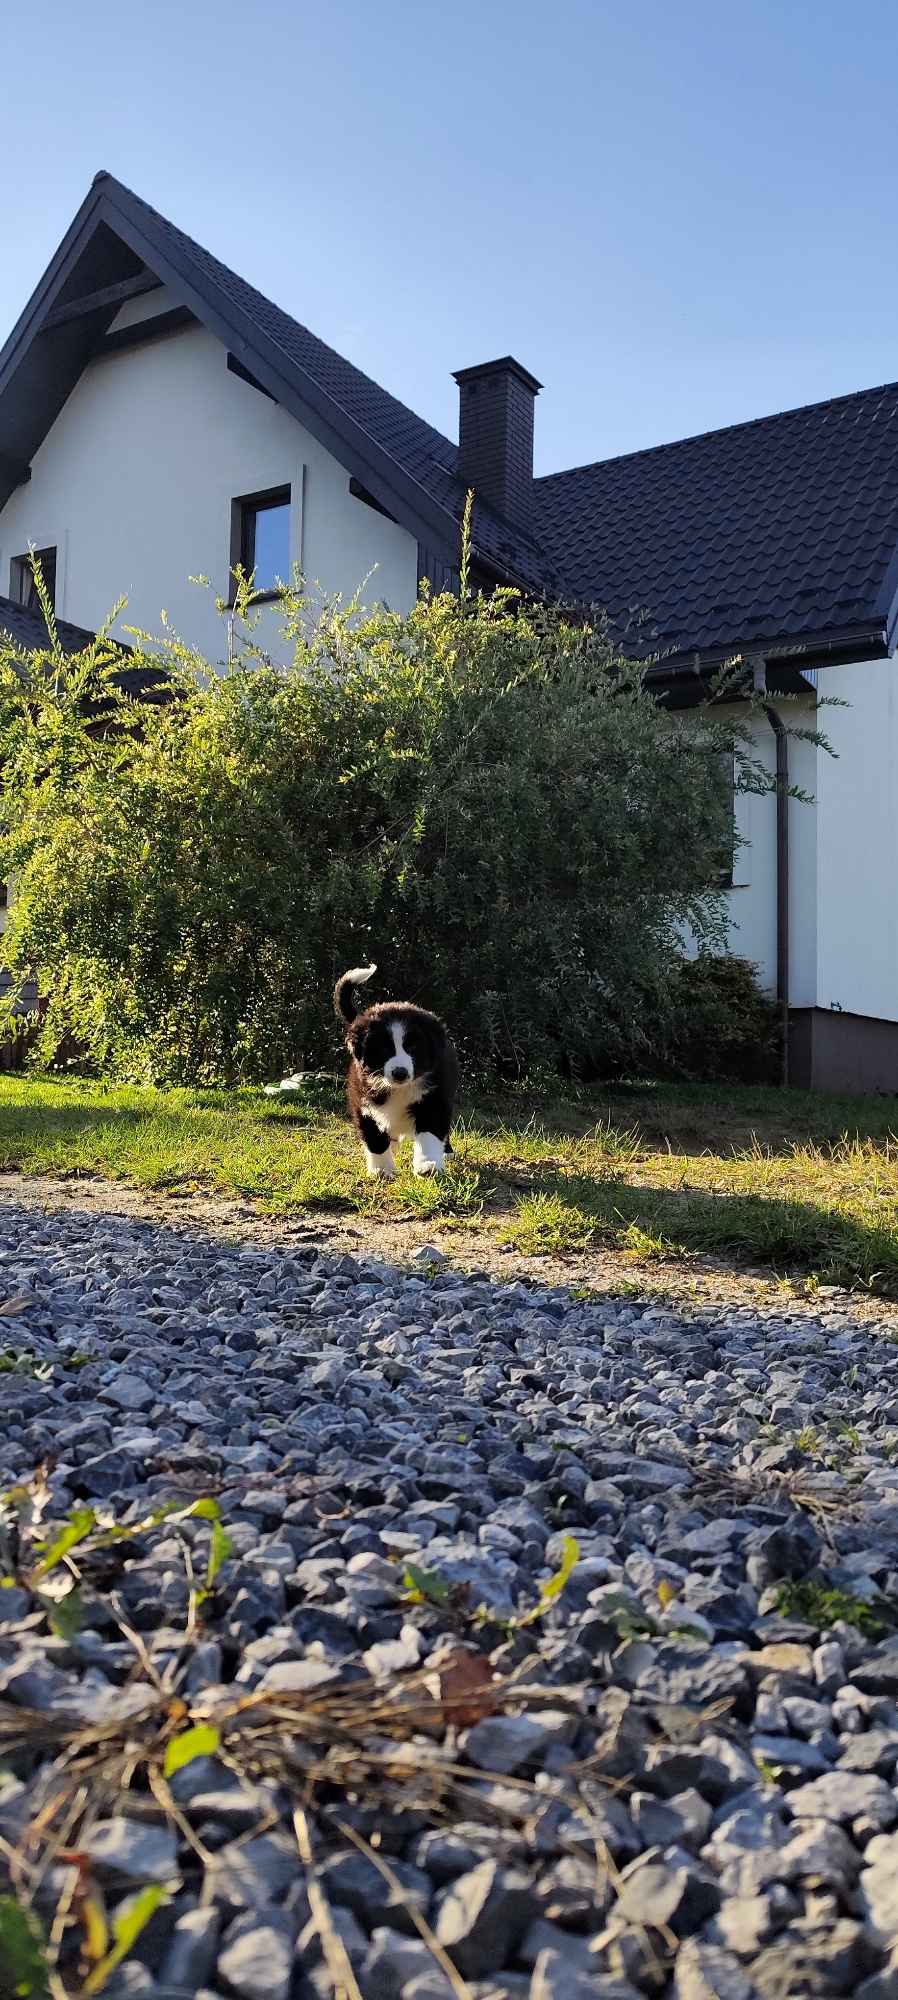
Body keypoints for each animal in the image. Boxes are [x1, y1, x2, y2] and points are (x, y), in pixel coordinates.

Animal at [332, 964, 456, 1168]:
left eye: (413, 1047)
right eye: (383, 1048)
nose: (400, 1073)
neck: (399, 1089)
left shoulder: (435, 1097)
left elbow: (430, 1131)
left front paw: (427, 1163)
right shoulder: (362, 1099)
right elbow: (374, 1137)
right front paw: (382, 1168)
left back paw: (446, 1152)